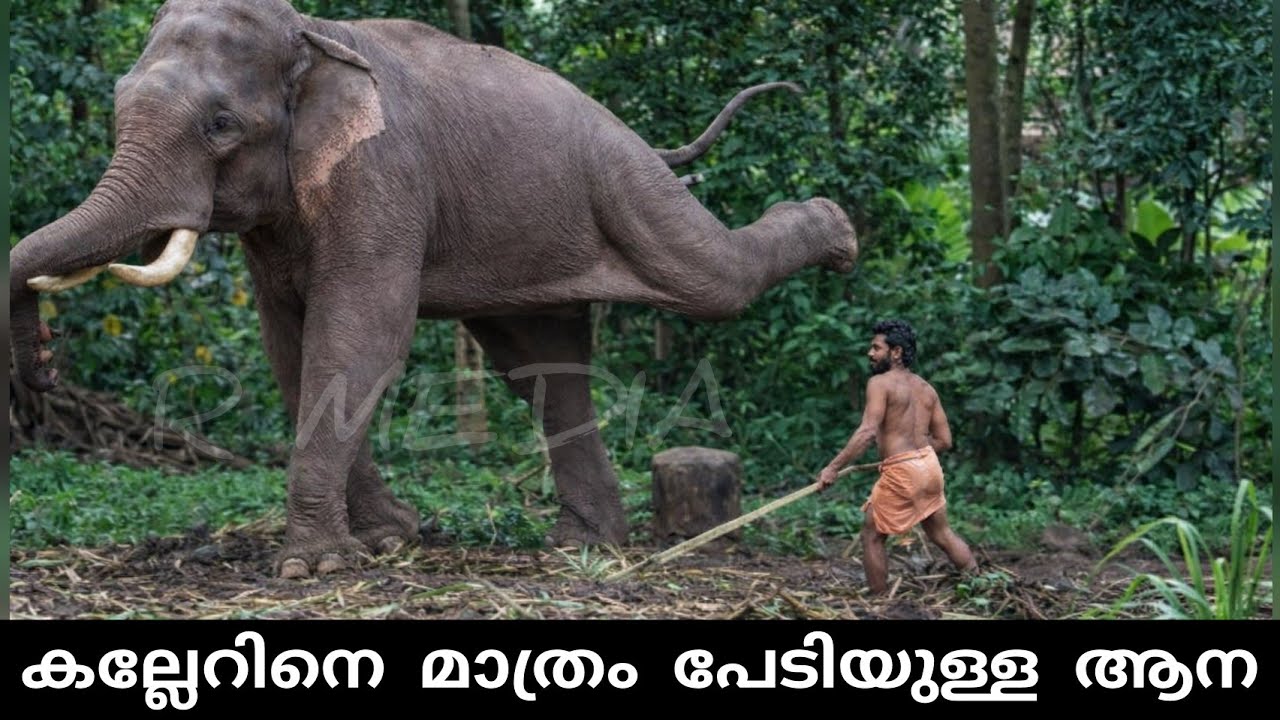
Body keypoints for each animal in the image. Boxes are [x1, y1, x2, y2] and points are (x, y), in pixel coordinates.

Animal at [9, 0, 859, 579]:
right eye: (117, 102)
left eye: (220, 124)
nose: (42, 366)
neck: (313, 34)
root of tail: (630, 131)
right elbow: (292, 347)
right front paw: (390, 538)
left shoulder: (384, 174)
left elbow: (359, 334)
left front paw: (315, 566)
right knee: (544, 371)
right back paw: (586, 545)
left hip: (624, 185)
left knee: (709, 281)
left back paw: (840, 231)